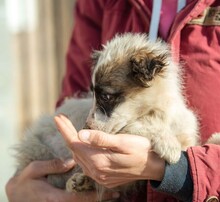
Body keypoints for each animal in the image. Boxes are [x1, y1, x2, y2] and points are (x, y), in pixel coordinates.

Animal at [13, 33, 199, 200]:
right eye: (93, 94)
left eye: (106, 96)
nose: (84, 129)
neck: (156, 111)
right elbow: (140, 125)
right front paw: (169, 144)